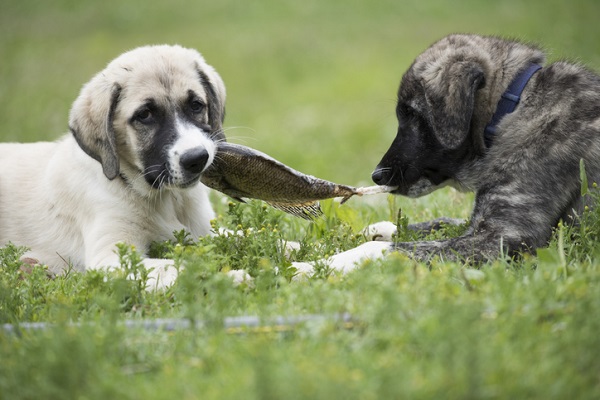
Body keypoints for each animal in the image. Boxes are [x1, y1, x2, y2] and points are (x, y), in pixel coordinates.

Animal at [294, 32, 600, 274]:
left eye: (411, 114)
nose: (377, 176)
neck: (513, 106)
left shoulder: (504, 239)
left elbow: (380, 248)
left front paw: (308, 266)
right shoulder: (476, 226)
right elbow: (434, 223)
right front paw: (299, 244)